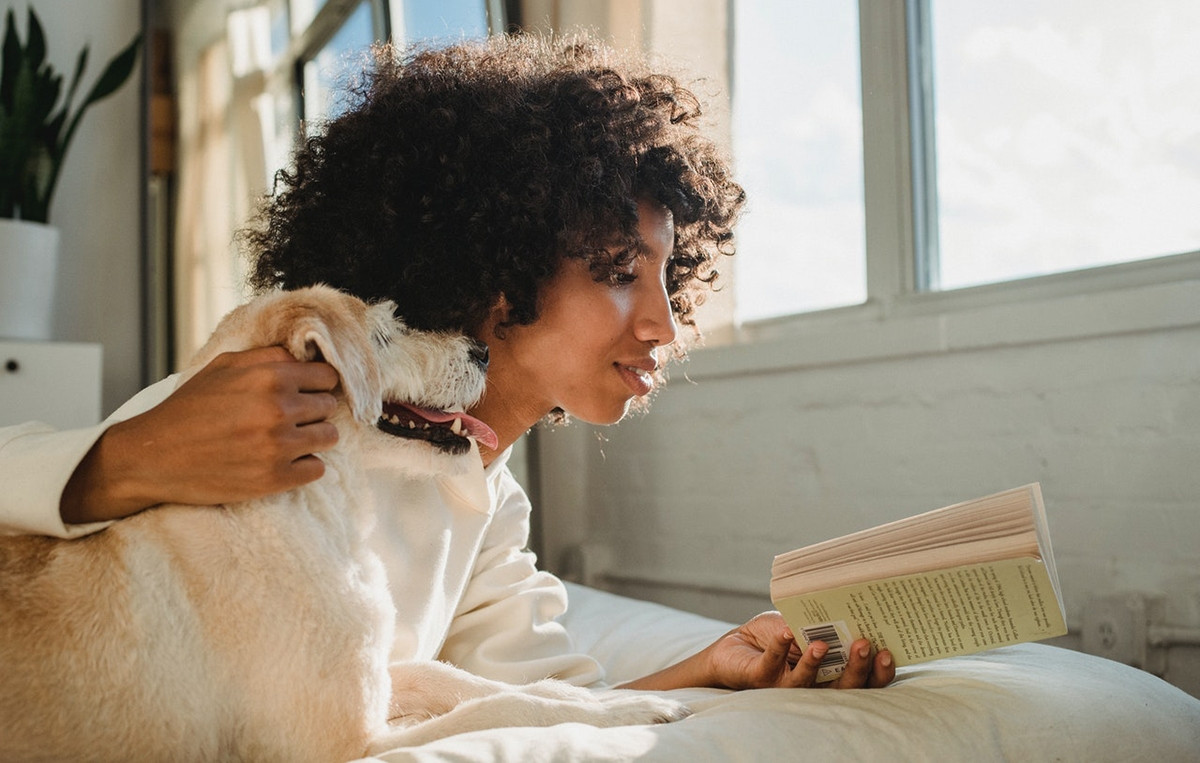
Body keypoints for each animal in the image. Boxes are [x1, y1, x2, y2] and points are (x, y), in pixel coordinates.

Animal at [0, 285, 686, 763]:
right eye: (381, 335)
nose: (483, 350)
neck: (309, 509)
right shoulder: (345, 745)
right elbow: (500, 710)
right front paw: (619, 717)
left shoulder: (377, 675)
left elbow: (461, 677)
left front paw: (603, 697)